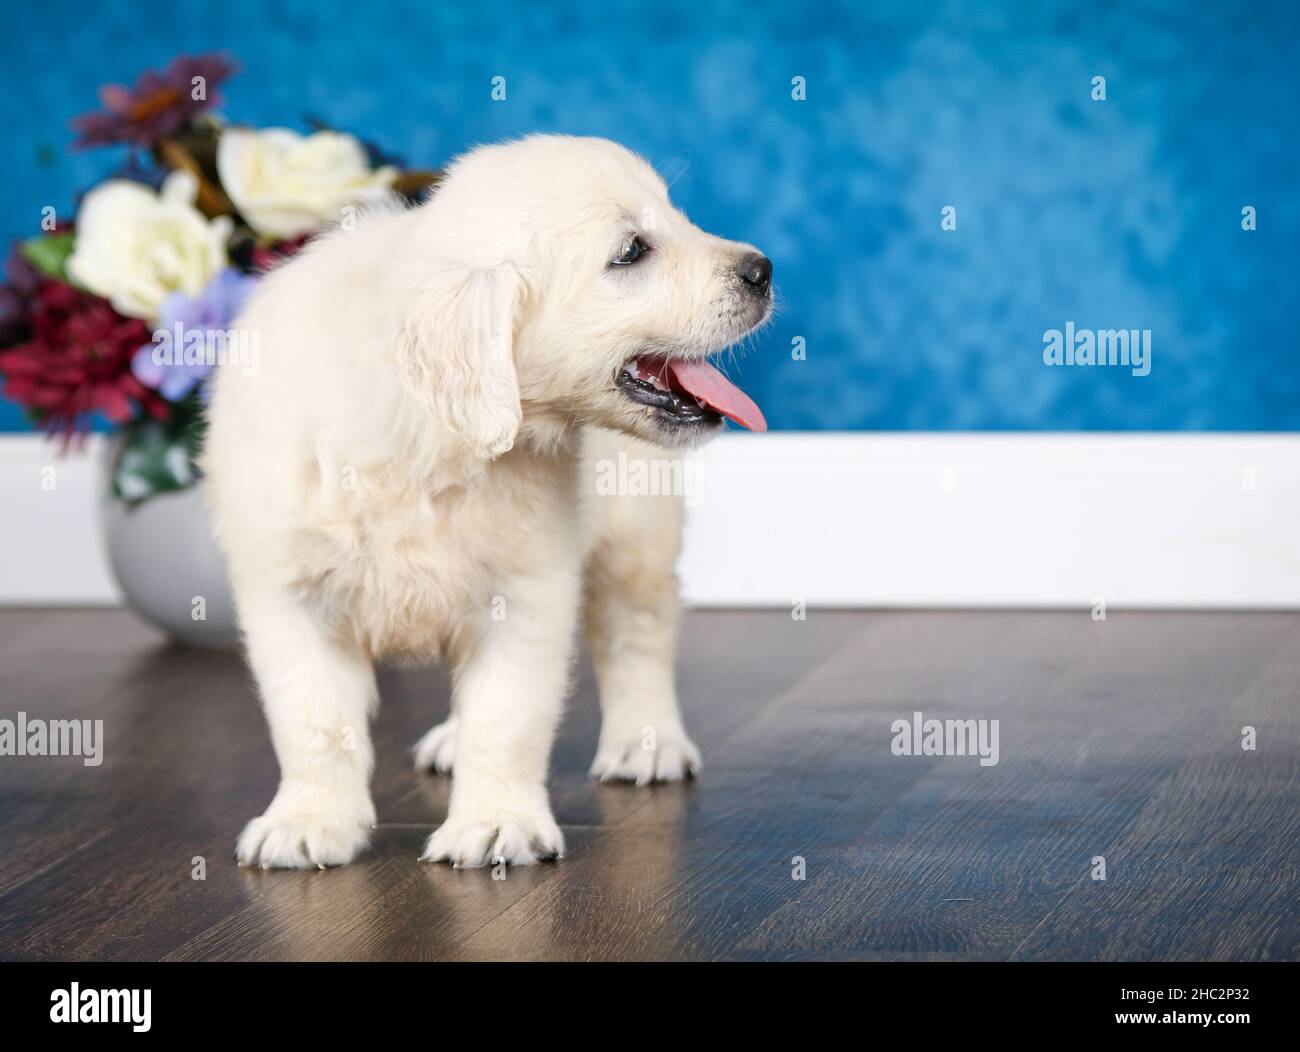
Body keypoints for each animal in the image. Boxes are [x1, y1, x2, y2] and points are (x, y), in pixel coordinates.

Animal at [204, 133, 769, 868]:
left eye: (674, 217)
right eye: (631, 250)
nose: (763, 270)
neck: (427, 441)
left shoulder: (525, 591)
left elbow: (505, 718)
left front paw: (498, 823)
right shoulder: (290, 593)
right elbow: (314, 723)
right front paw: (309, 820)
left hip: (636, 531)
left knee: (638, 632)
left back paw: (647, 741)